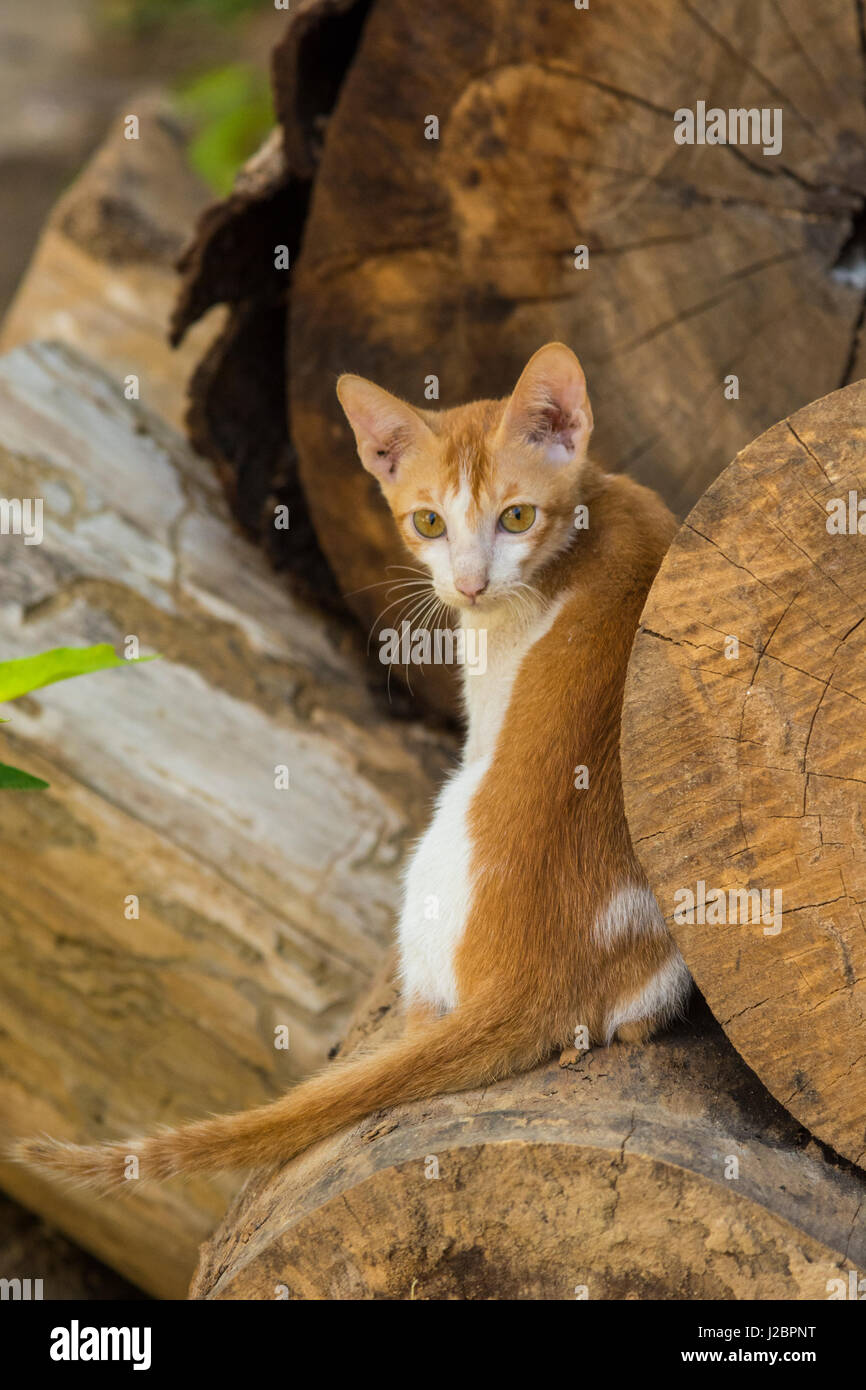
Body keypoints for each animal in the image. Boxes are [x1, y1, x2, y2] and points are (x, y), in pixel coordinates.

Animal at [11, 339, 692, 1184]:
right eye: (428, 521)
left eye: (517, 516)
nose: (469, 585)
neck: (587, 523)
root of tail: (524, 985)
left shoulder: (488, 708)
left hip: (442, 829)